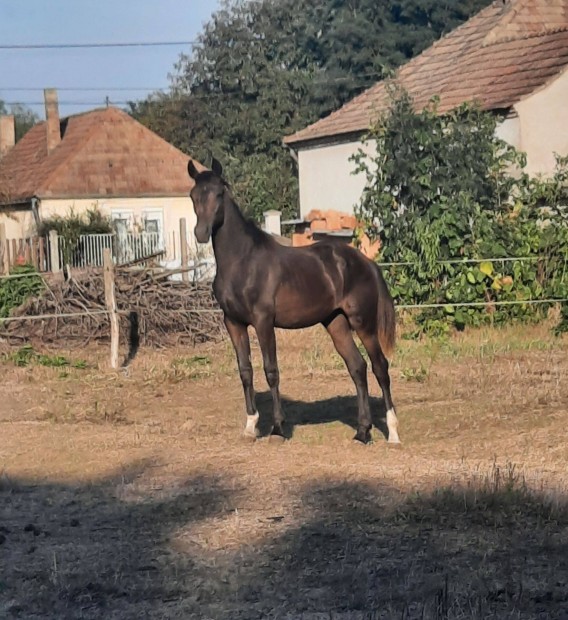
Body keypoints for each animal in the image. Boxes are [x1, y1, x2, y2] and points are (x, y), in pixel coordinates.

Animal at [186, 157, 400, 444]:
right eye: (193, 195)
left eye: (219, 194)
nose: (201, 232)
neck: (243, 261)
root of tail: (366, 262)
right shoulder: (233, 323)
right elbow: (245, 371)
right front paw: (250, 426)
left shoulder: (263, 321)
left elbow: (271, 370)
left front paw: (277, 428)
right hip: (336, 323)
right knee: (358, 367)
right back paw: (362, 432)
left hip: (363, 323)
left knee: (380, 367)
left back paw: (393, 432)